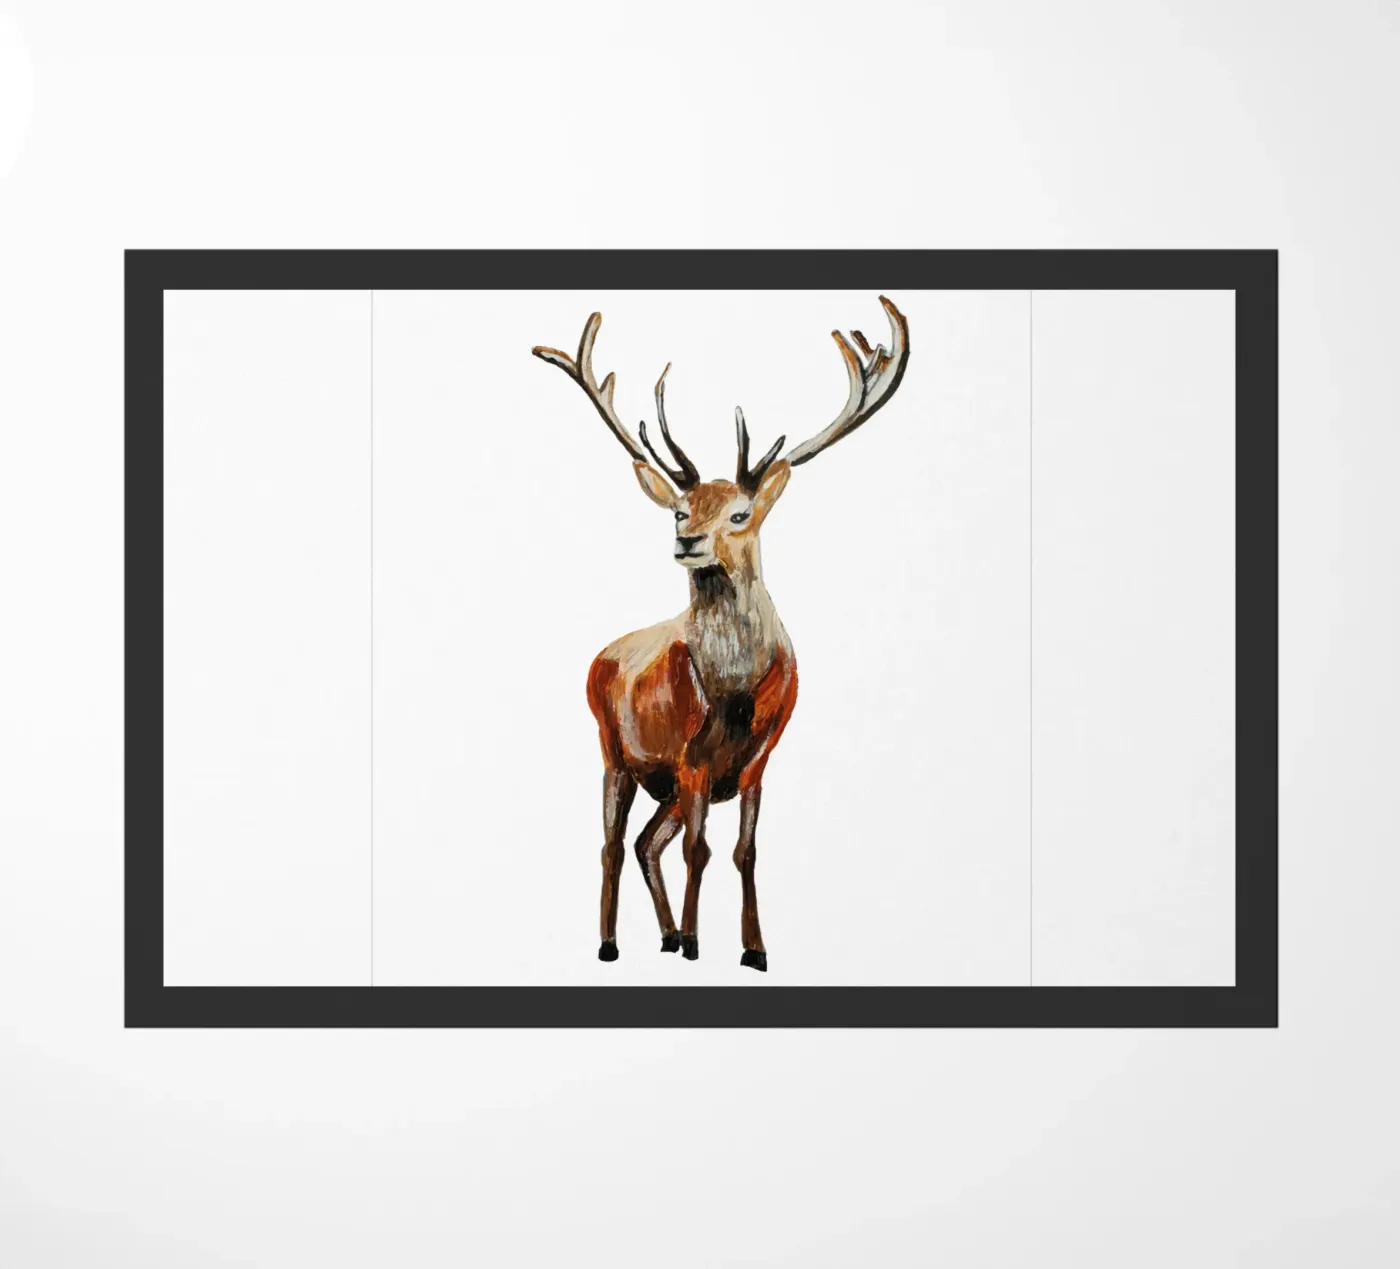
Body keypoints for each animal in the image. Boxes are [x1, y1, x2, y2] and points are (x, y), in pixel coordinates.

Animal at [532, 296, 910, 971]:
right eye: (681, 510)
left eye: (740, 513)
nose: (687, 541)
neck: (733, 691)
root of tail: (601, 655)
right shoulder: (690, 759)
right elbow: (699, 851)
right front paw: (694, 942)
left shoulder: (758, 761)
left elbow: (743, 851)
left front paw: (753, 948)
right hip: (613, 749)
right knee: (613, 843)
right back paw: (611, 943)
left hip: (661, 783)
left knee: (646, 842)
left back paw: (658, 934)